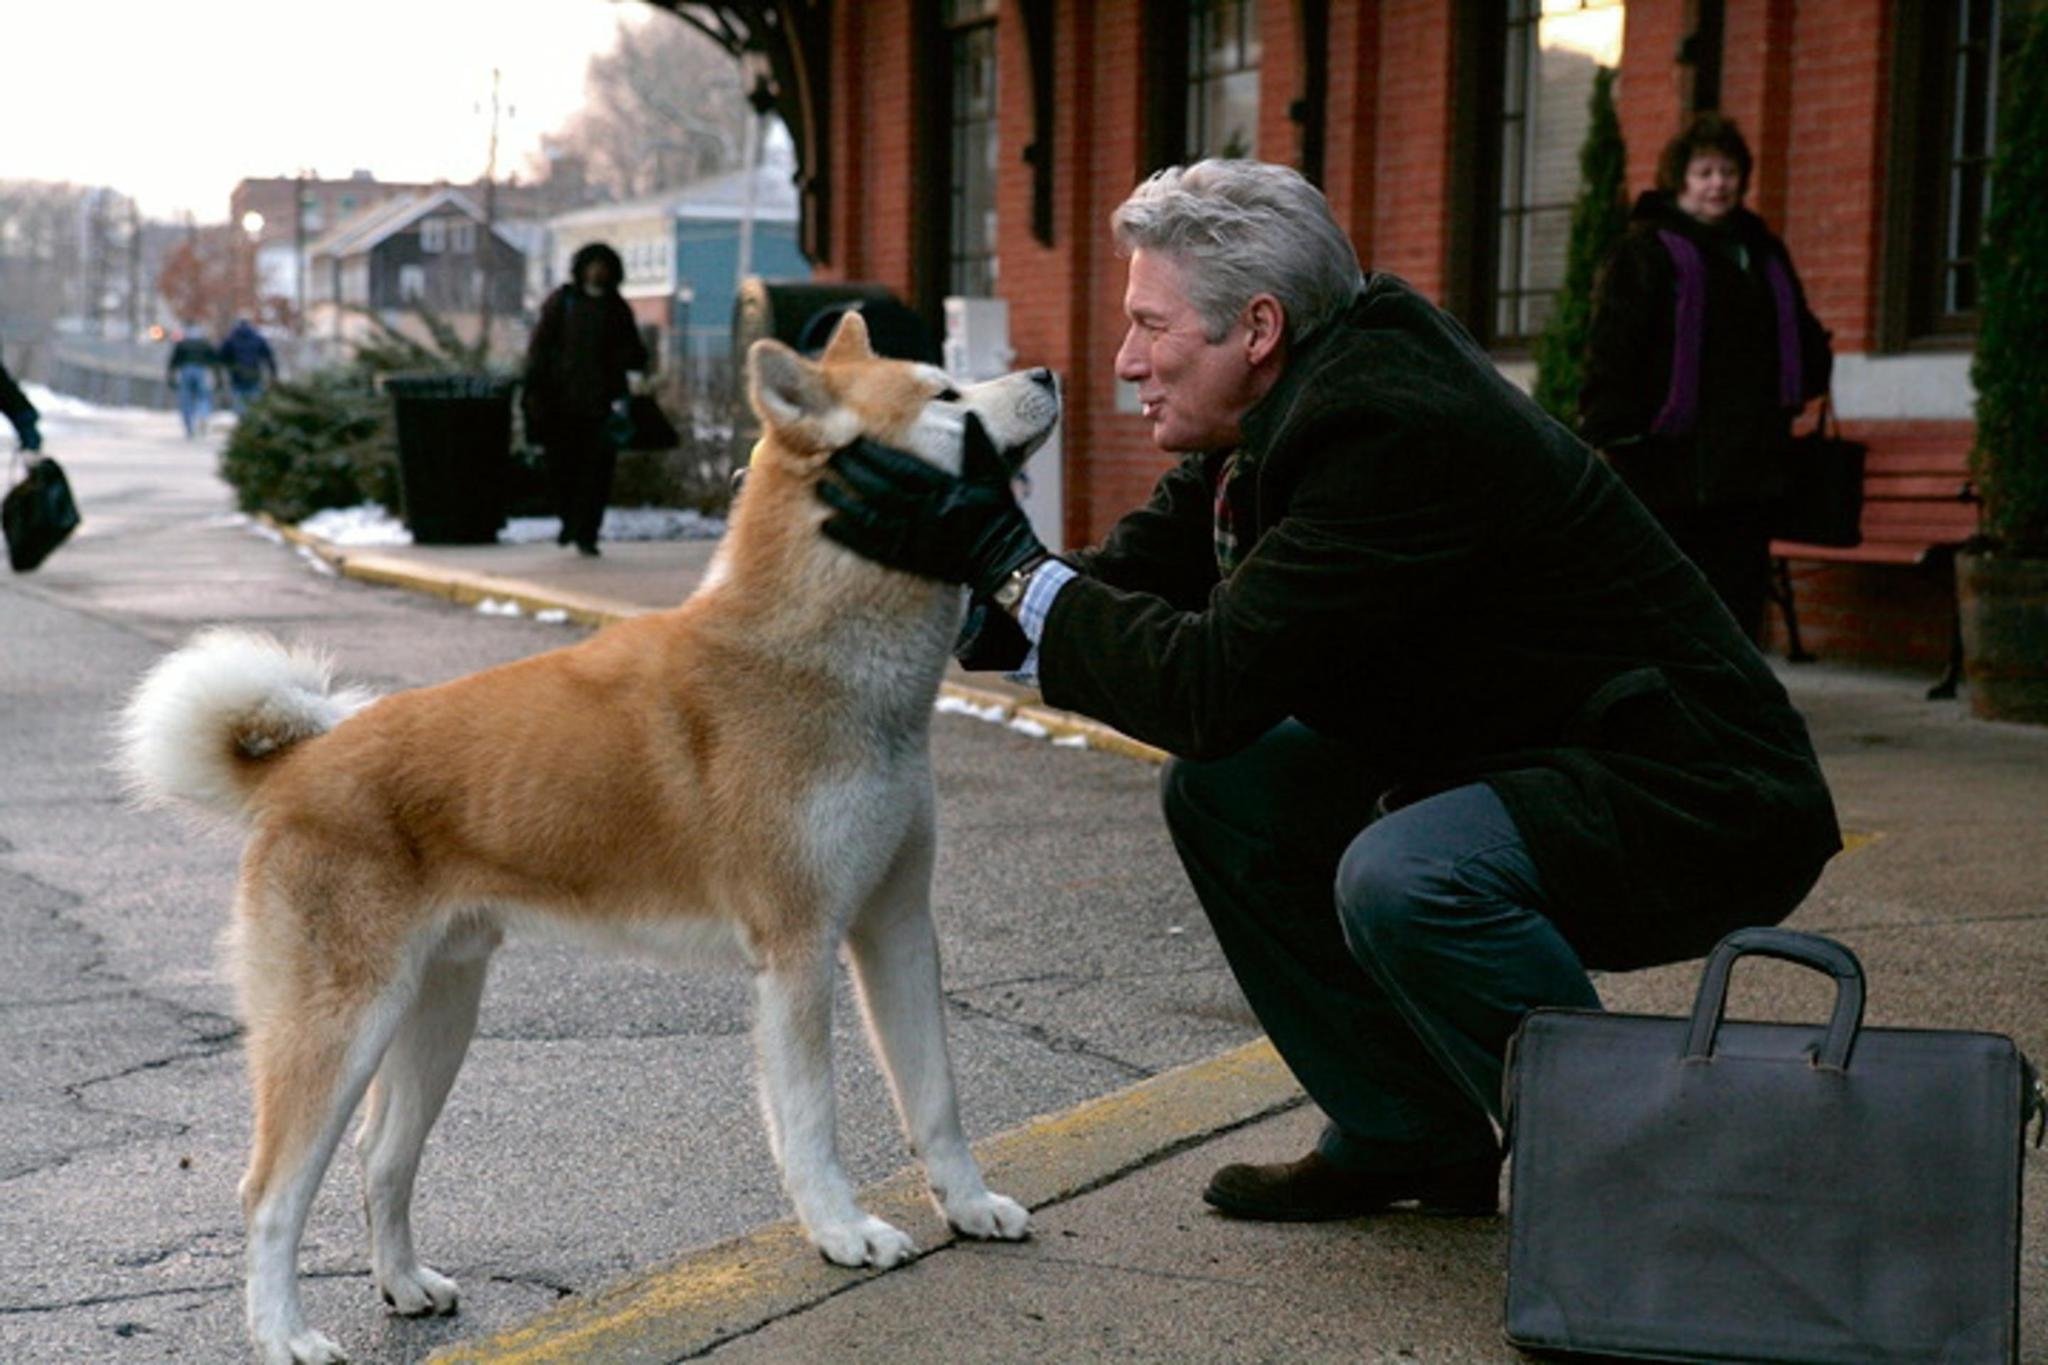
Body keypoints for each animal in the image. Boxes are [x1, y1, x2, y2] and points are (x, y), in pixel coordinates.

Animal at [116, 315, 1056, 1358]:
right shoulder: (800, 950)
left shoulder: (895, 928)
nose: (1050, 372)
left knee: (380, 1159)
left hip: (438, 1014)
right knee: (271, 1195)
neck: (816, 661)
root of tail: (297, 767)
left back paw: (404, 1283)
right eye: (944, 395)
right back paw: (284, 1333)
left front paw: (968, 1205)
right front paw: (843, 1230)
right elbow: (814, 1120)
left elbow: (938, 1099)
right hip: (339, 1029)